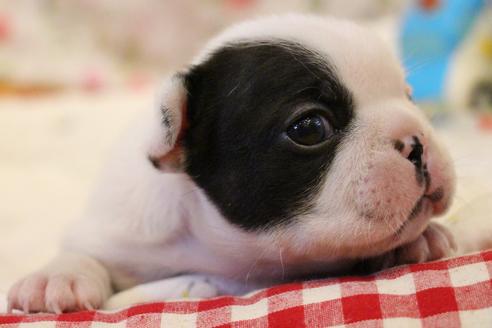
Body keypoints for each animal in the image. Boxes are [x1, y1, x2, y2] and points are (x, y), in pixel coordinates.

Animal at [7, 14, 456, 312]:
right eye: (310, 127)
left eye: (410, 97)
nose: (416, 140)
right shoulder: (115, 231)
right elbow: (81, 251)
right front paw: (57, 277)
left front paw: (417, 241)